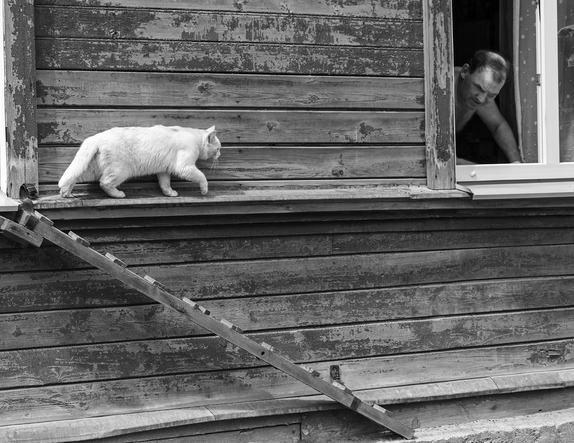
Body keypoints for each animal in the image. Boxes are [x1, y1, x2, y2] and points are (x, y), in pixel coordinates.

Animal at [58, 126, 220, 199]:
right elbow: (202, 177)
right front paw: (204, 190)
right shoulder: (184, 167)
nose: (220, 154)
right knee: (104, 183)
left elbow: (165, 183)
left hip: (90, 168)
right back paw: (118, 195)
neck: (195, 137)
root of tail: (96, 137)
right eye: (218, 148)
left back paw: (65, 193)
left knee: (73, 177)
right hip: (120, 171)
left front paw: (169, 193)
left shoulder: (163, 170)